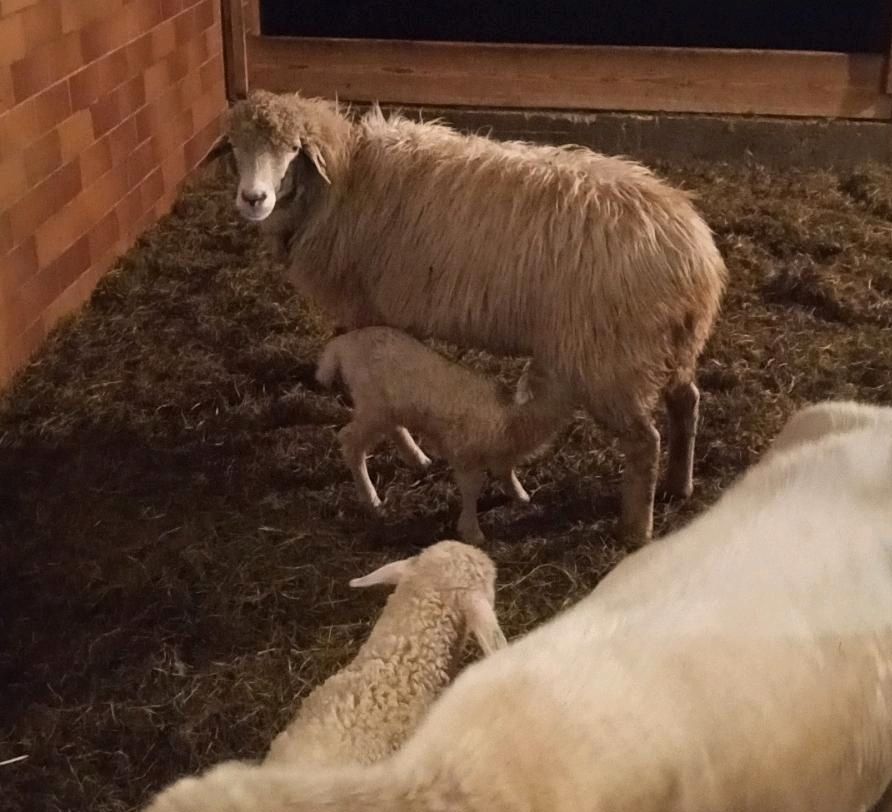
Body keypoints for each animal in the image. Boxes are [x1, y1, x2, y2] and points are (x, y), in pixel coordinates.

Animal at [318, 326, 576, 544]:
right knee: (349, 440)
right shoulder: (465, 452)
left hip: (389, 408)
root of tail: (342, 344)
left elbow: (506, 472)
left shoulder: (501, 453)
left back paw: (418, 458)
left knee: (394, 428)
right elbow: (472, 488)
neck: (513, 415)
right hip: (372, 405)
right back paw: (371, 498)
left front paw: (520, 495)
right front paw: (472, 531)